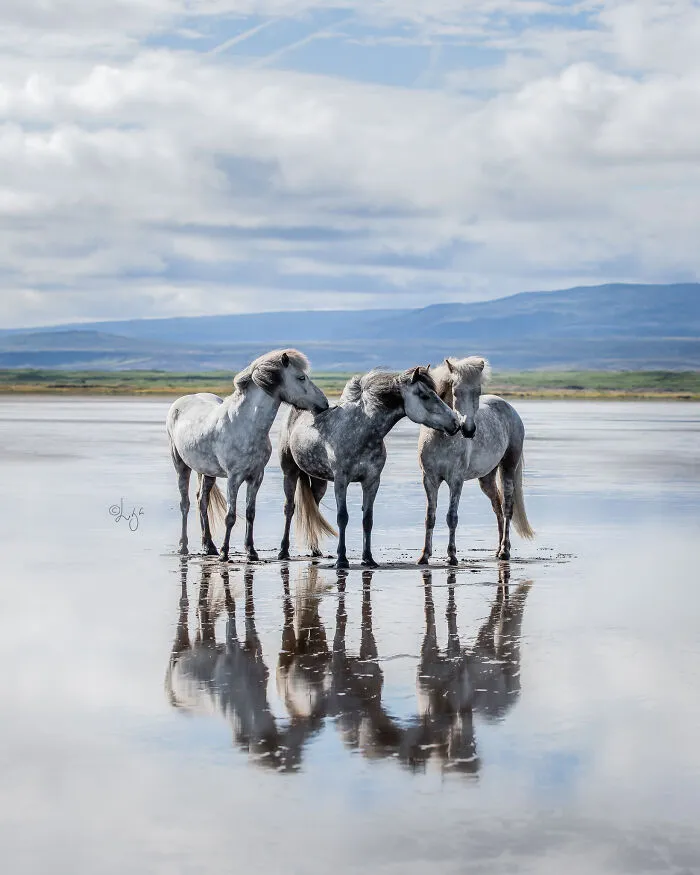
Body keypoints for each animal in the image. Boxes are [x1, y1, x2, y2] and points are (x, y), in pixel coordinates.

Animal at [166, 349, 328, 561]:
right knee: (184, 504)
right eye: (301, 377)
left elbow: (250, 512)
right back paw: (184, 547)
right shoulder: (233, 478)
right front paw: (225, 553)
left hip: (207, 472)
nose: (324, 404)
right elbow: (230, 516)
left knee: (202, 503)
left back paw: (209, 546)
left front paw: (251, 551)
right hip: (180, 465)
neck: (245, 425)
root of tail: (181, 401)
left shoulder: (256, 477)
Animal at [278, 366, 463, 569]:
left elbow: (368, 519)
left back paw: (315, 550)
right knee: (289, 508)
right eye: (424, 395)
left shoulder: (372, 481)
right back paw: (283, 551)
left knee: (314, 508)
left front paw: (368, 559)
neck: (361, 429)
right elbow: (342, 517)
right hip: (290, 472)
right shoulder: (341, 480)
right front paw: (342, 560)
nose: (455, 423)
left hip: (319, 481)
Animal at [417, 356, 534, 564]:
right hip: (486, 477)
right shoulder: (429, 479)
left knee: (507, 508)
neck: (440, 437)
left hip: (508, 467)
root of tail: (509, 408)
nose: (469, 430)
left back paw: (505, 551)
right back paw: (497, 550)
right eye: (455, 391)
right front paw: (424, 555)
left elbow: (451, 517)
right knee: (497, 507)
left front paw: (452, 556)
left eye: (478, 392)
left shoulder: (456, 480)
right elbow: (430, 517)